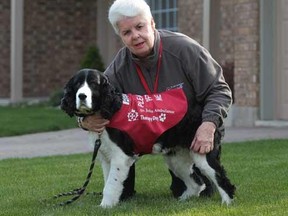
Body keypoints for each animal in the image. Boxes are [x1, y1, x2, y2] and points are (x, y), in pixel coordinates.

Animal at [61, 69, 236, 208]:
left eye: (93, 84)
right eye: (77, 84)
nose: (81, 96)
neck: (110, 109)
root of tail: (204, 112)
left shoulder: (120, 157)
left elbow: (111, 184)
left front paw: (105, 206)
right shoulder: (106, 157)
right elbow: (108, 182)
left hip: (202, 151)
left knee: (221, 178)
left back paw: (226, 203)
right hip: (176, 158)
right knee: (197, 183)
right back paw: (182, 201)